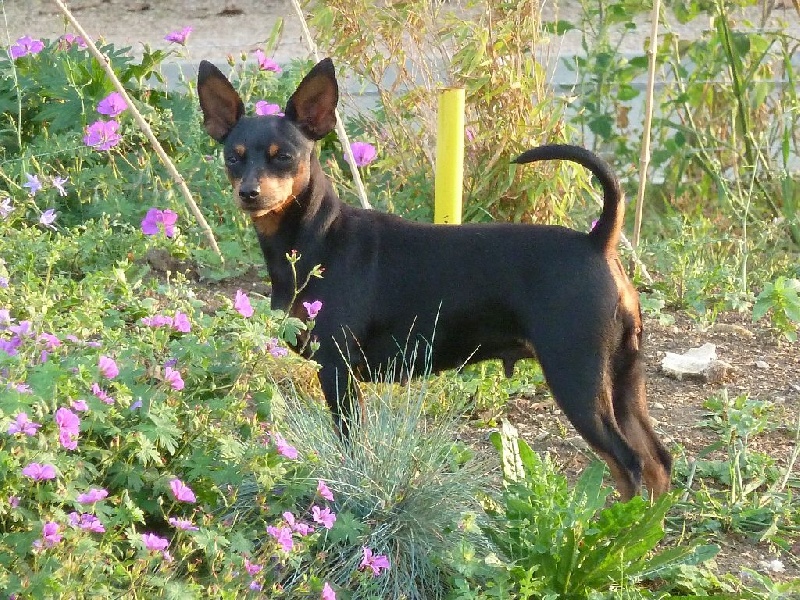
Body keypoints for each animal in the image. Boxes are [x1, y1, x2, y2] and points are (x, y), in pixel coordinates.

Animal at [197, 56, 672, 500]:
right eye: (233, 158)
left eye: (284, 157)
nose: (249, 192)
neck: (316, 236)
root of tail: (598, 241)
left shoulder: (337, 370)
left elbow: (351, 448)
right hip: (624, 377)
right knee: (656, 461)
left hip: (577, 374)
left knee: (628, 463)